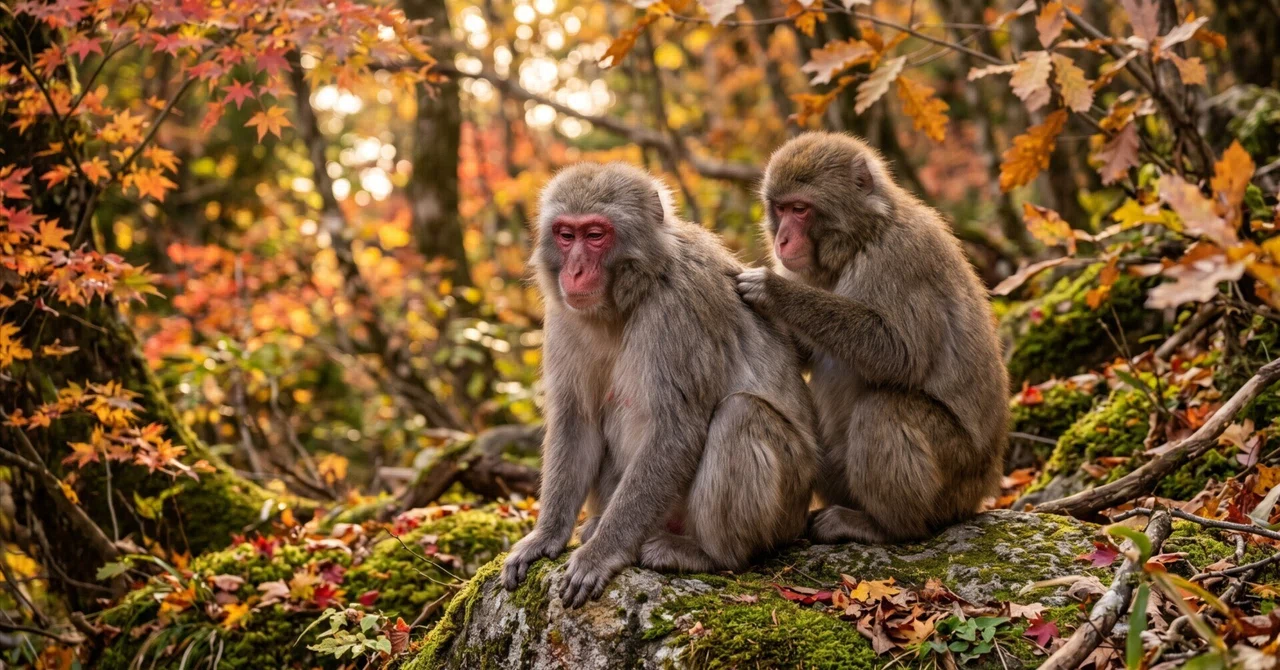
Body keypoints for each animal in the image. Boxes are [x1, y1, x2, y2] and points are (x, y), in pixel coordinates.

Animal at [501, 162, 818, 607]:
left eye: (595, 235)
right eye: (566, 235)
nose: (574, 271)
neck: (632, 292)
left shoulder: (678, 307)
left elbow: (675, 429)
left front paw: (600, 553)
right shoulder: (564, 314)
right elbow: (577, 420)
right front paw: (546, 536)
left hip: (788, 505)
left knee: (740, 414)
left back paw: (708, 554)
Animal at [735, 131, 1008, 545]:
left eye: (800, 209)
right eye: (779, 209)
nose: (781, 240)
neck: (862, 238)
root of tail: (982, 491)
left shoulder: (900, 258)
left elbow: (900, 355)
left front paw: (773, 290)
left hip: (956, 479)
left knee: (883, 408)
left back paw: (886, 527)